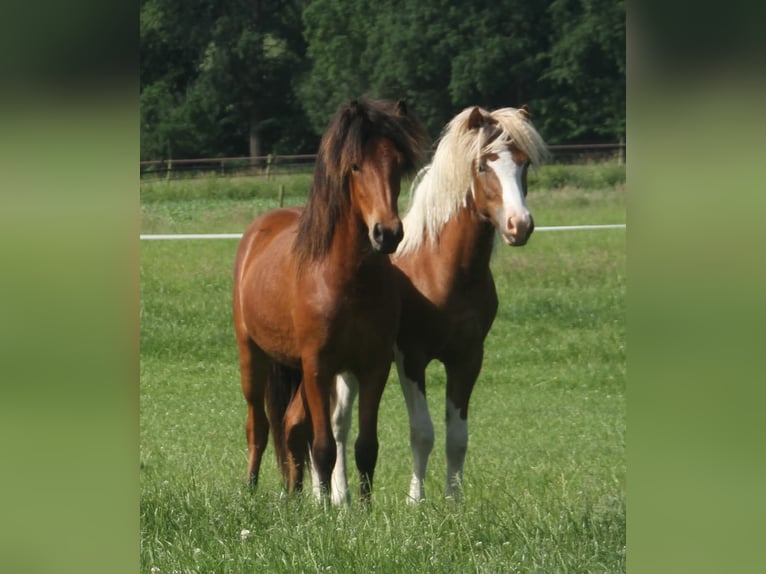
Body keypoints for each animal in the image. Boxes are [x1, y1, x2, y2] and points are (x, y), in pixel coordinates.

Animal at [232, 99, 428, 500]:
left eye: (397, 163)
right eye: (354, 166)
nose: (387, 233)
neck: (346, 281)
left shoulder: (373, 367)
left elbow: (366, 448)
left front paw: (363, 508)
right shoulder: (318, 367)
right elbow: (324, 448)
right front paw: (325, 508)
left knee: (290, 424)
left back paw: (292, 495)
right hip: (252, 356)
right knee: (258, 425)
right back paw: (251, 488)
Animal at [325, 105, 549, 504]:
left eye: (523, 163)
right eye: (483, 165)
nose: (519, 225)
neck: (441, 269)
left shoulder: (468, 358)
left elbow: (457, 437)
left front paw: (453, 501)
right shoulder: (411, 359)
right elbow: (422, 432)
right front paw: (416, 502)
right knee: (338, 422)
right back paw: (339, 497)